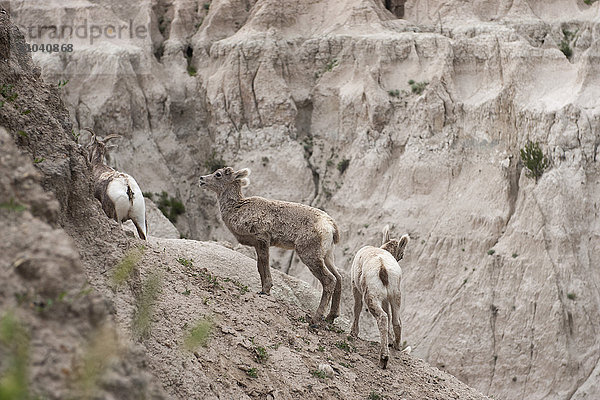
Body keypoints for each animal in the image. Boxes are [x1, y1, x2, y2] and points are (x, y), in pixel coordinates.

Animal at [199, 166, 342, 324]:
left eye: (218, 174)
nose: (201, 179)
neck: (237, 209)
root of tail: (331, 227)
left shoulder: (262, 238)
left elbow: (265, 263)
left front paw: (265, 290)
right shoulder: (256, 244)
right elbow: (259, 266)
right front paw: (262, 290)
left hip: (310, 254)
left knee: (330, 280)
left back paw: (315, 321)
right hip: (327, 255)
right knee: (339, 277)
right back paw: (331, 317)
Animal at [350, 225, 410, 368]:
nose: (401, 256)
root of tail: (383, 267)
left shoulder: (355, 287)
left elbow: (357, 308)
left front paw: (354, 332)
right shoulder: (386, 299)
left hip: (371, 296)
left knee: (382, 317)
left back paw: (383, 359)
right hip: (395, 296)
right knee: (395, 320)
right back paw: (396, 346)